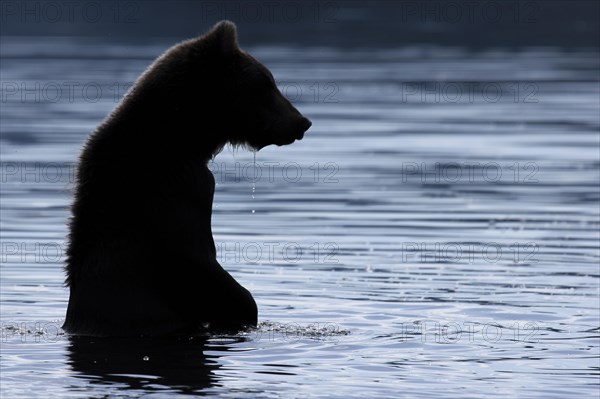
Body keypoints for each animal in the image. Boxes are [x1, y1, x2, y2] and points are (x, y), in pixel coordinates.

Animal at [62, 21, 312, 338]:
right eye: (266, 83)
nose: (302, 122)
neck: (183, 139)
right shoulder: (176, 199)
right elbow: (199, 264)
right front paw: (244, 305)